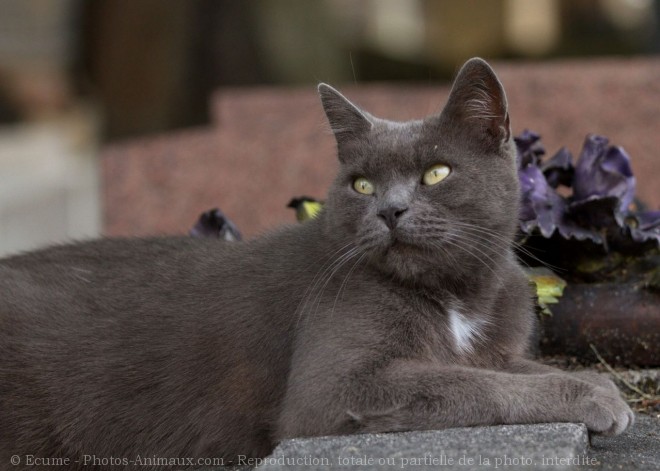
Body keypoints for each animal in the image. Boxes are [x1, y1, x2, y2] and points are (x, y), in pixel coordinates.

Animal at [1, 60, 636, 471]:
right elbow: (472, 383)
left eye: (436, 172)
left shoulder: (492, 345)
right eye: (361, 184)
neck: (459, 295)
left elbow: (506, 368)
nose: (390, 209)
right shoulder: (336, 387)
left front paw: (600, 386)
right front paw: (594, 399)